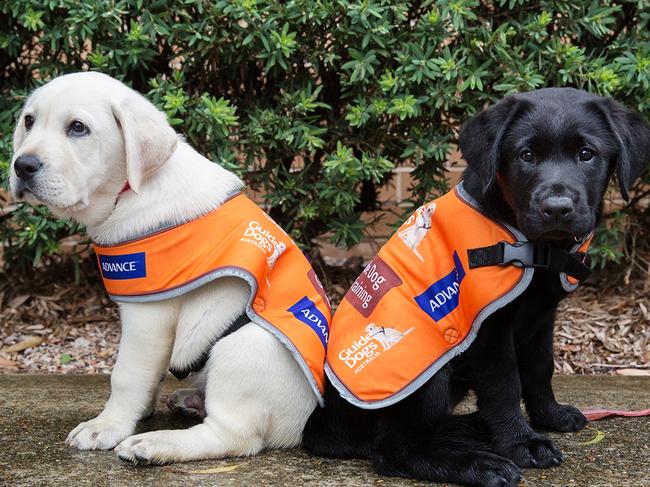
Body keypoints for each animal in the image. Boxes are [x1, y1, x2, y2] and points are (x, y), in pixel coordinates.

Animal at [7, 72, 316, 466]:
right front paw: (138, 412)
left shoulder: (148, 315)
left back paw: (153, 445)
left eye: (78, 128)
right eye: (29, 121)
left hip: (244, 346)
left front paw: (107, 426)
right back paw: (191, 401)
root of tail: (302, 426)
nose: (22, 165)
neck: (129, 191)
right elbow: (147, 375)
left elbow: (126, 374)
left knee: (235, 437)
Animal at [304, 88, 648, 487]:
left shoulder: (542, 317)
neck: (535, 245)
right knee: (394, 449)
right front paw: (522, 444)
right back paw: (479, 463)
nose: (557, 208)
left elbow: (540, 367)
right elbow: (504, 385)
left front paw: (550, 416)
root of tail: (324, 425)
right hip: (430, 367)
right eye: (526, 155)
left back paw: (475, 429)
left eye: (586, 153)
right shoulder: (488, 331)